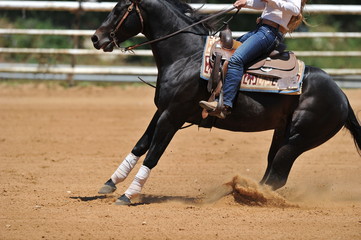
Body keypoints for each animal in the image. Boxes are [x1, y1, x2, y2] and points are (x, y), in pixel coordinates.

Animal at [91, 0, 358, 204]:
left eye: (120, 9)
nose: (95, 38)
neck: (186, 57)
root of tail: (342, 97)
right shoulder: (162, 111)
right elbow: (139, 146)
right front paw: (109, 183)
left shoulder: (173, 116)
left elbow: (152, 155)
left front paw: (128, 195)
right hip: (281, 134)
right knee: (271, 172)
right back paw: (235, 191)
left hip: (297, 140)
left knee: (277, 176)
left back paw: (239, 193)